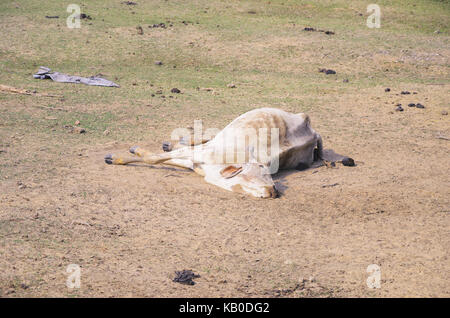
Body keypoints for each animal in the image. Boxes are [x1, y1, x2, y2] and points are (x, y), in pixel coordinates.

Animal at [103, 108, 354, 198]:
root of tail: (311, 128)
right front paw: (120, 156)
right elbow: (156, 158)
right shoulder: (200, 155)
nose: (273, 190)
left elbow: (162, 159)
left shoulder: (195, 161)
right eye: (261, 169)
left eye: (271, 173)